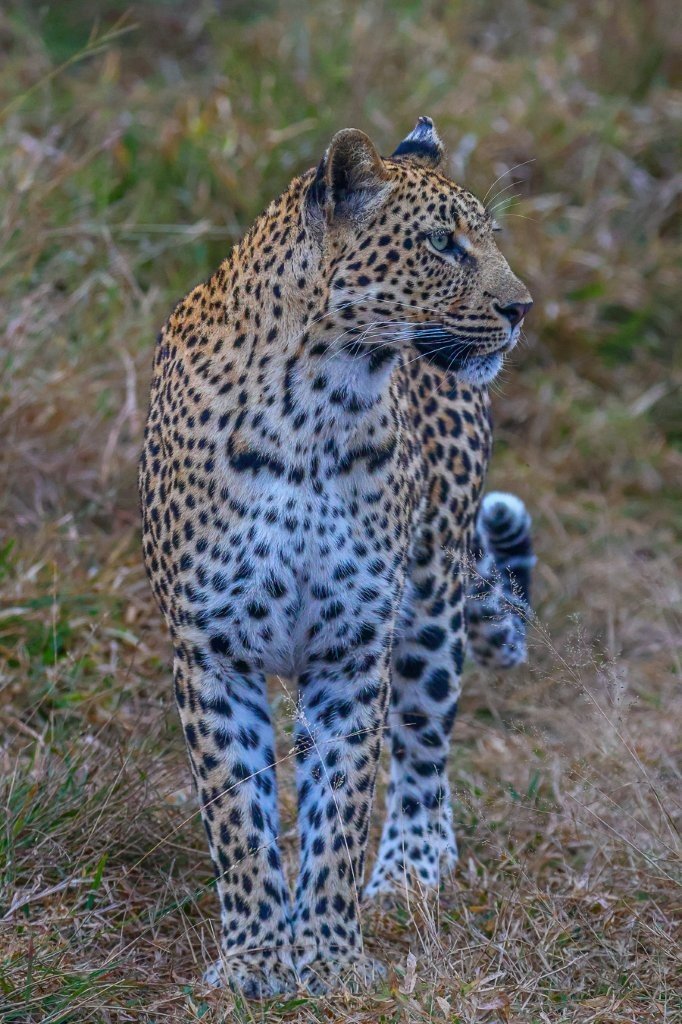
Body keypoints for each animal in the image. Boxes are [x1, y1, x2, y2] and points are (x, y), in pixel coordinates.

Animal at [139, 116, 535, 999]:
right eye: (442, 243)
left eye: (489, 238)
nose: (521, 307)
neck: (318, 405)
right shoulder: (213, 650)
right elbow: (239, 813)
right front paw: (256, 958)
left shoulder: (353, 647)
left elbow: (342, 806)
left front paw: (327, 956)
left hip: (429, 603)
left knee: (423, 747)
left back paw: (412, 870)